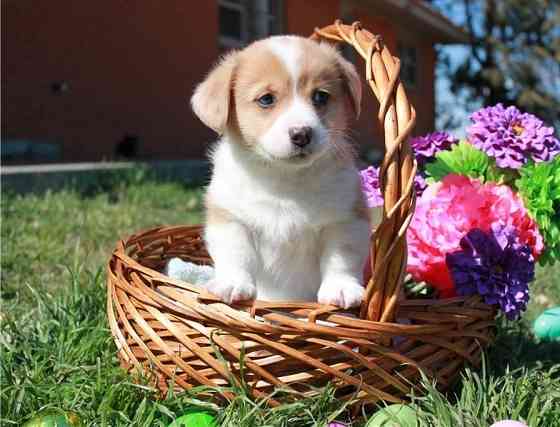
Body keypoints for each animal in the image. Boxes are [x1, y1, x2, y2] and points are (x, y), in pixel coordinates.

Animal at [190, 34, 370, 308]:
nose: (301, 134)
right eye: (266, 99)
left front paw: (341, 288)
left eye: (320, 96)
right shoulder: (230, 218)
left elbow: (341, 258)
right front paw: (232, 284)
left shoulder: (345, 220)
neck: (284, 178)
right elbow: (236, 254)